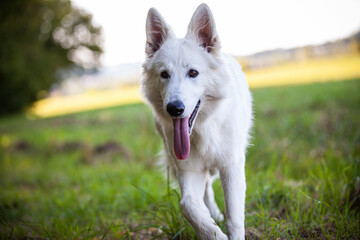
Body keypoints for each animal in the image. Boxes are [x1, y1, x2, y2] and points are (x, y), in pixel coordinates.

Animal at [141, 3, 253, 240]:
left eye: (193, 73)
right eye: (164, 74)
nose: (174, 108)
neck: (203, 129)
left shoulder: (232, 166)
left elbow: (234, 217)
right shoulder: (188, 170)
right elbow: (189, 205)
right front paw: (213, 232)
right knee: (206, 192)